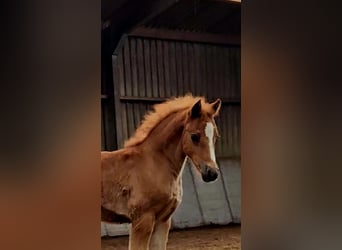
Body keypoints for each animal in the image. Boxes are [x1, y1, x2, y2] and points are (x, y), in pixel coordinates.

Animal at [101, 94, 222, 249]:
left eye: (215, 137)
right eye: (194, 136)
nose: (212, 173)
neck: (154, 163)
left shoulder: (163, 220)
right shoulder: (142, 219)